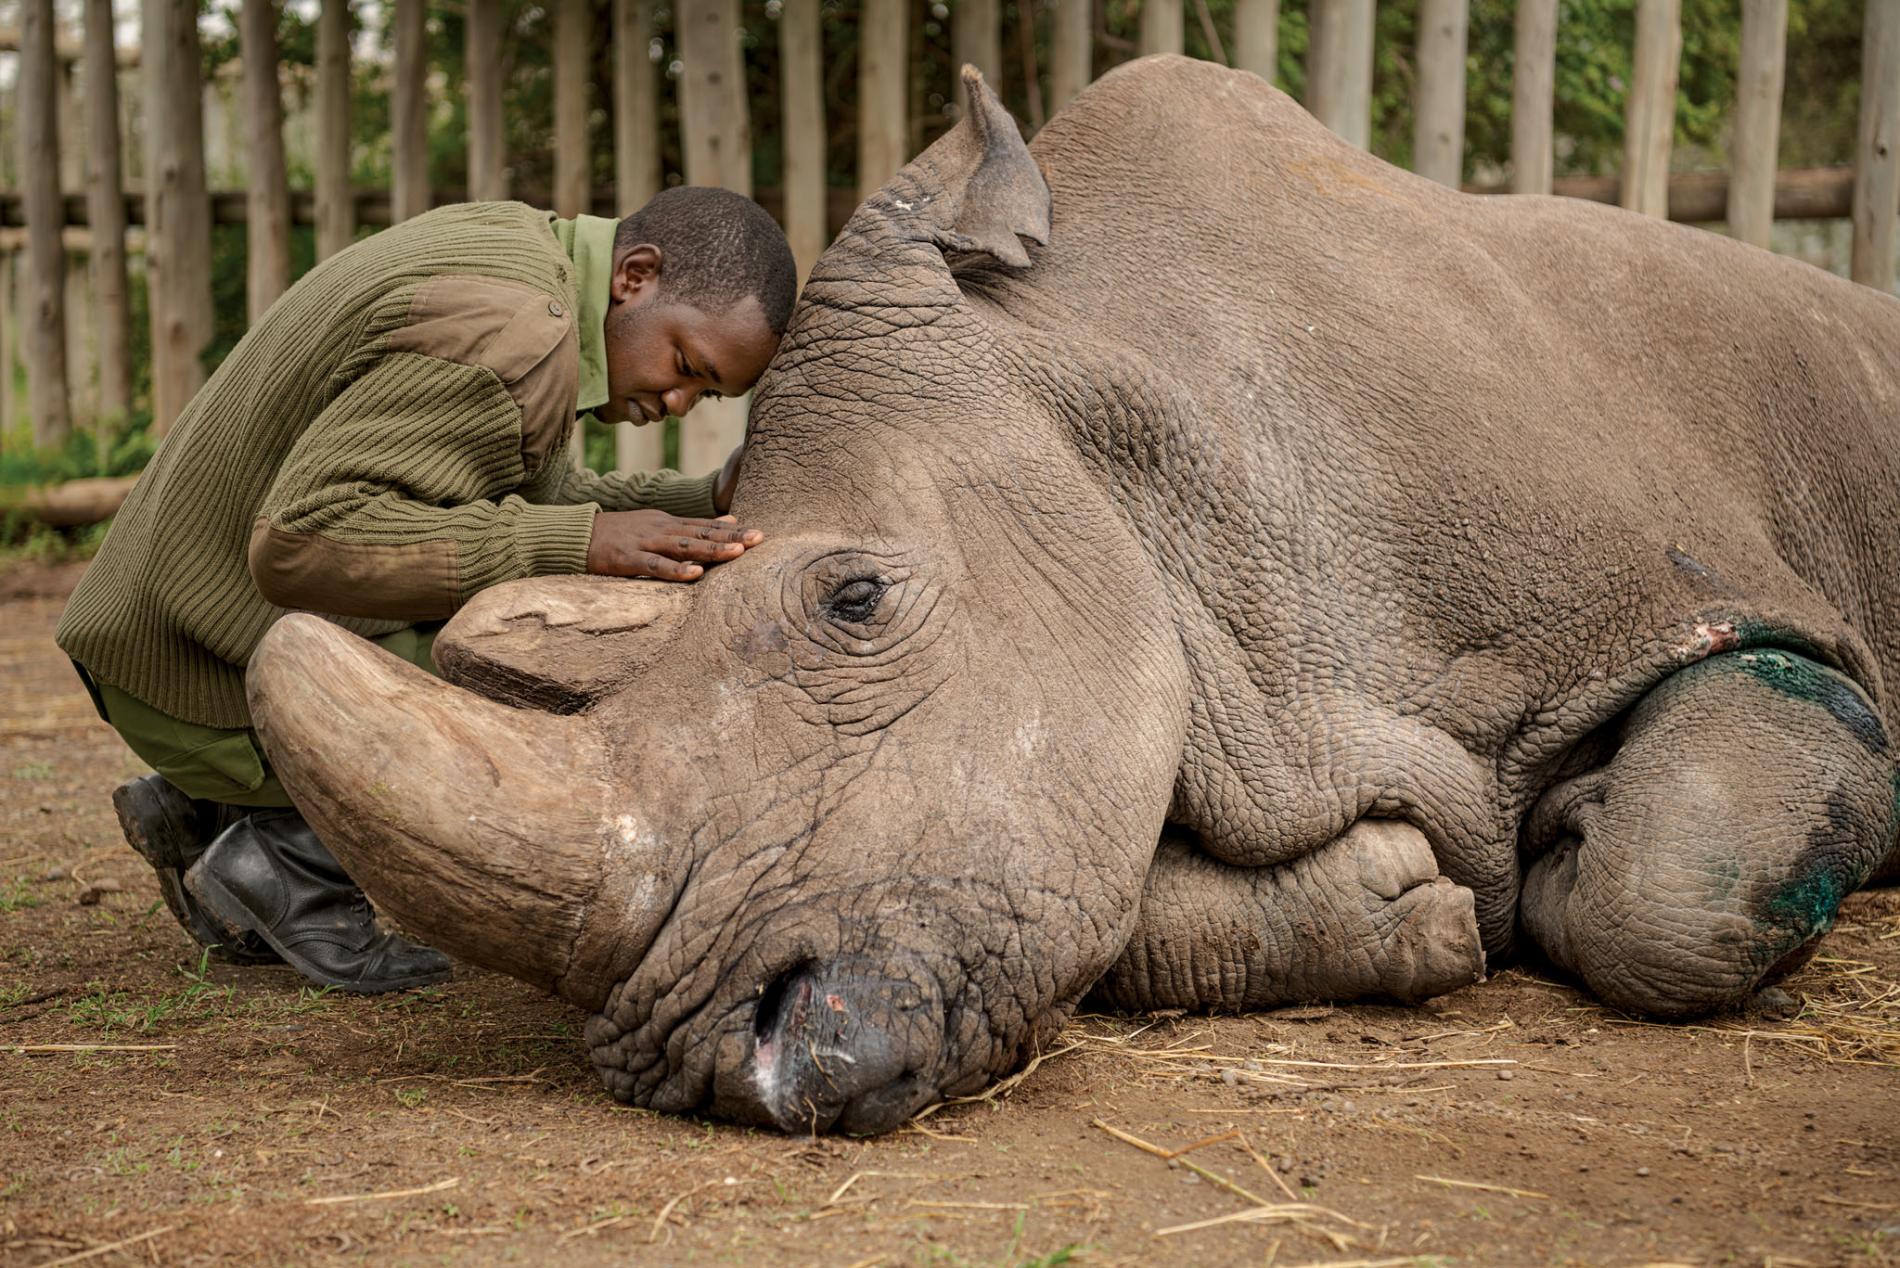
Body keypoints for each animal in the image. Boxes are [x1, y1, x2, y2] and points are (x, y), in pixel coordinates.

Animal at [248, 57, 1900, 1133]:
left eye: (856, 601)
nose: (713, 1063)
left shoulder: (1687, 606)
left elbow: (1671, 886)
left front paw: (1566, 854)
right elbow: (1105, 908)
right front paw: (1412, 905)